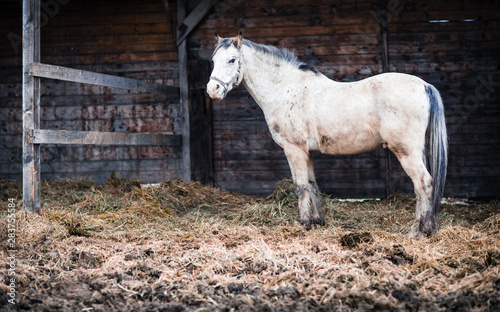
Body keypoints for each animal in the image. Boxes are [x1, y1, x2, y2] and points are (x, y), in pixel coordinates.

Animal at [207, 33, 450, 236]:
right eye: (213, 60)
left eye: (232, 60)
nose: (212, 90)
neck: (285, 88)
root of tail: (425, 86)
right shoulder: (308, 152)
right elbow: (312, 184)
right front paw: (318, 222)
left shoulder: (294, 150)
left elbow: (300, 186)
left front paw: (303, 224)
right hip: (417, 152)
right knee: (422, 187)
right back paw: (422, 228)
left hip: (406, 152)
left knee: (424, 183)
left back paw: (419, 231)